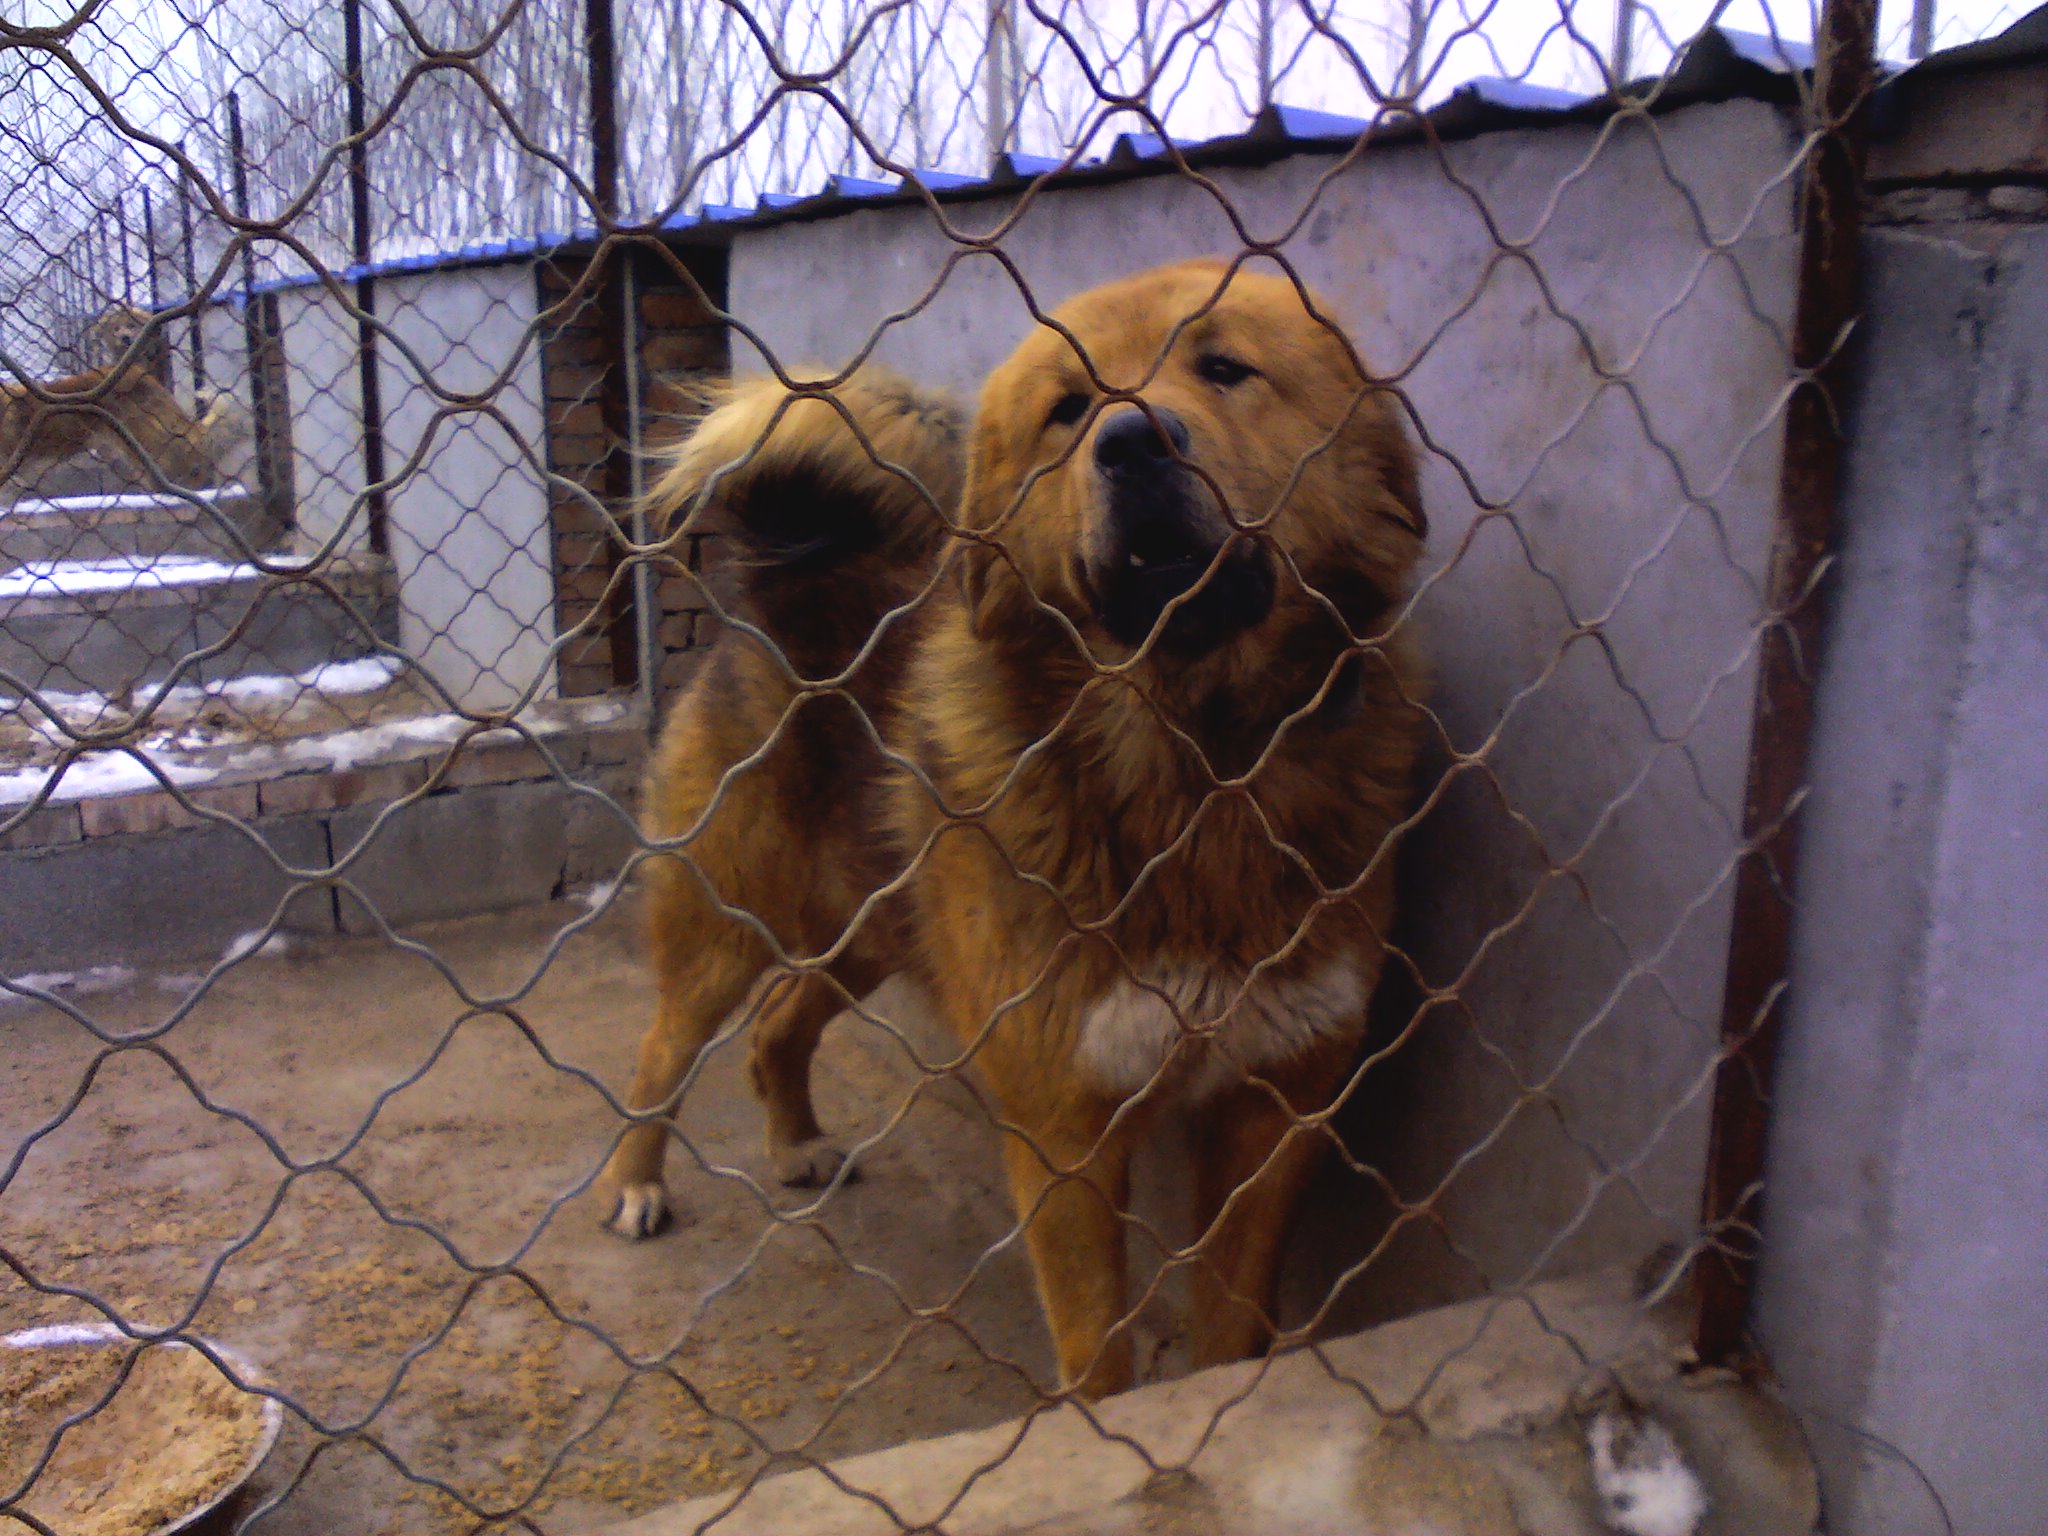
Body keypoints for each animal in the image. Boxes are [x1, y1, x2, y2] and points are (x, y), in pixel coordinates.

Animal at [598, 259, 1433, 1400]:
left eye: (1225, 369)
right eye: (1068, 411)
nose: (1133, 441)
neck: (1195, 770)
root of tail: (785, 591)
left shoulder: (1278, 1108)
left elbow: (1229, 1328)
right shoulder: (1062, 1125)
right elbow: (1097, 1351)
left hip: (872, 925)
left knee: (778, 1024)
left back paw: (795, 1143)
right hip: (726, 927)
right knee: (661, 1052)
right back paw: (636, 1186)